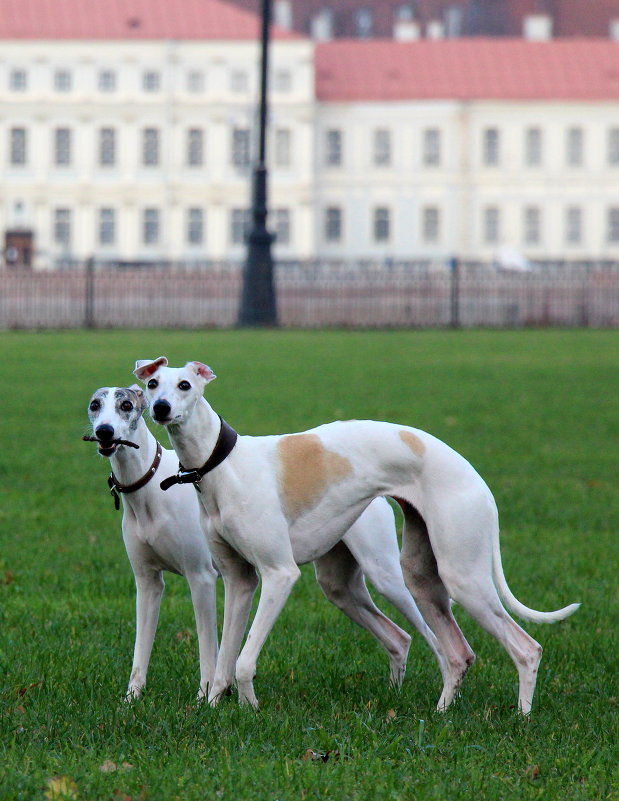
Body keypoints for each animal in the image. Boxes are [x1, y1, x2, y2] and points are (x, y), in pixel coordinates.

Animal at [88, 384, 446, 696]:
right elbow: (141, 652)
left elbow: (209, 650)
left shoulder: (201, 577)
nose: (105, 432)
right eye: (94, 405)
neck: (150, 486)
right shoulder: (147, 581)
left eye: (126, 405)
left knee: (429, 635)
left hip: (385, 575)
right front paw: (132, 700)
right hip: (340, 586)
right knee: (398, 638)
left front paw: (207, 696)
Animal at [133, 356, 580, 712]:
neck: (221, 463)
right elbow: (224, 658)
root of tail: (476, 478)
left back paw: (522, 717)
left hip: (460, 575)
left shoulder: (279, 574)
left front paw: (251, 709)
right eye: (152, 384)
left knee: (526, 648)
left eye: (185, 384)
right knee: (458, 653)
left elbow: (243, 660)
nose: (160, 408)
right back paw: (441, 714)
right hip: (418, 577)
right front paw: (215, 707)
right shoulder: (239, 579)